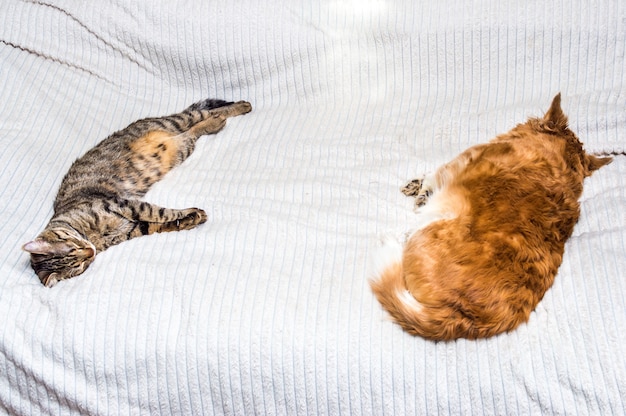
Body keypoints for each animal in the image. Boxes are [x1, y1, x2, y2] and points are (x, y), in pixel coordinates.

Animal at [22, 98, 251, 286]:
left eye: (74, 246)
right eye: (78, 264)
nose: (90, 251)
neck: (93, 236)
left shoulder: (123, 205)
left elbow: (160, 212)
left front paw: (191, 213)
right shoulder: (132, 229)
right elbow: (161, 223)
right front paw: (190, 219)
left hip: (173, 122)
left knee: (200, 113)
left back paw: (240, 107)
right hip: (184, 145)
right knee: (194, 131)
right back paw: (217, 122)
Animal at [370, 94, 608, 342]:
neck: (558, 160)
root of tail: (462, 318)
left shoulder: (457, 163)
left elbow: (432, 176)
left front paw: (420, 189)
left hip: (431, 225)